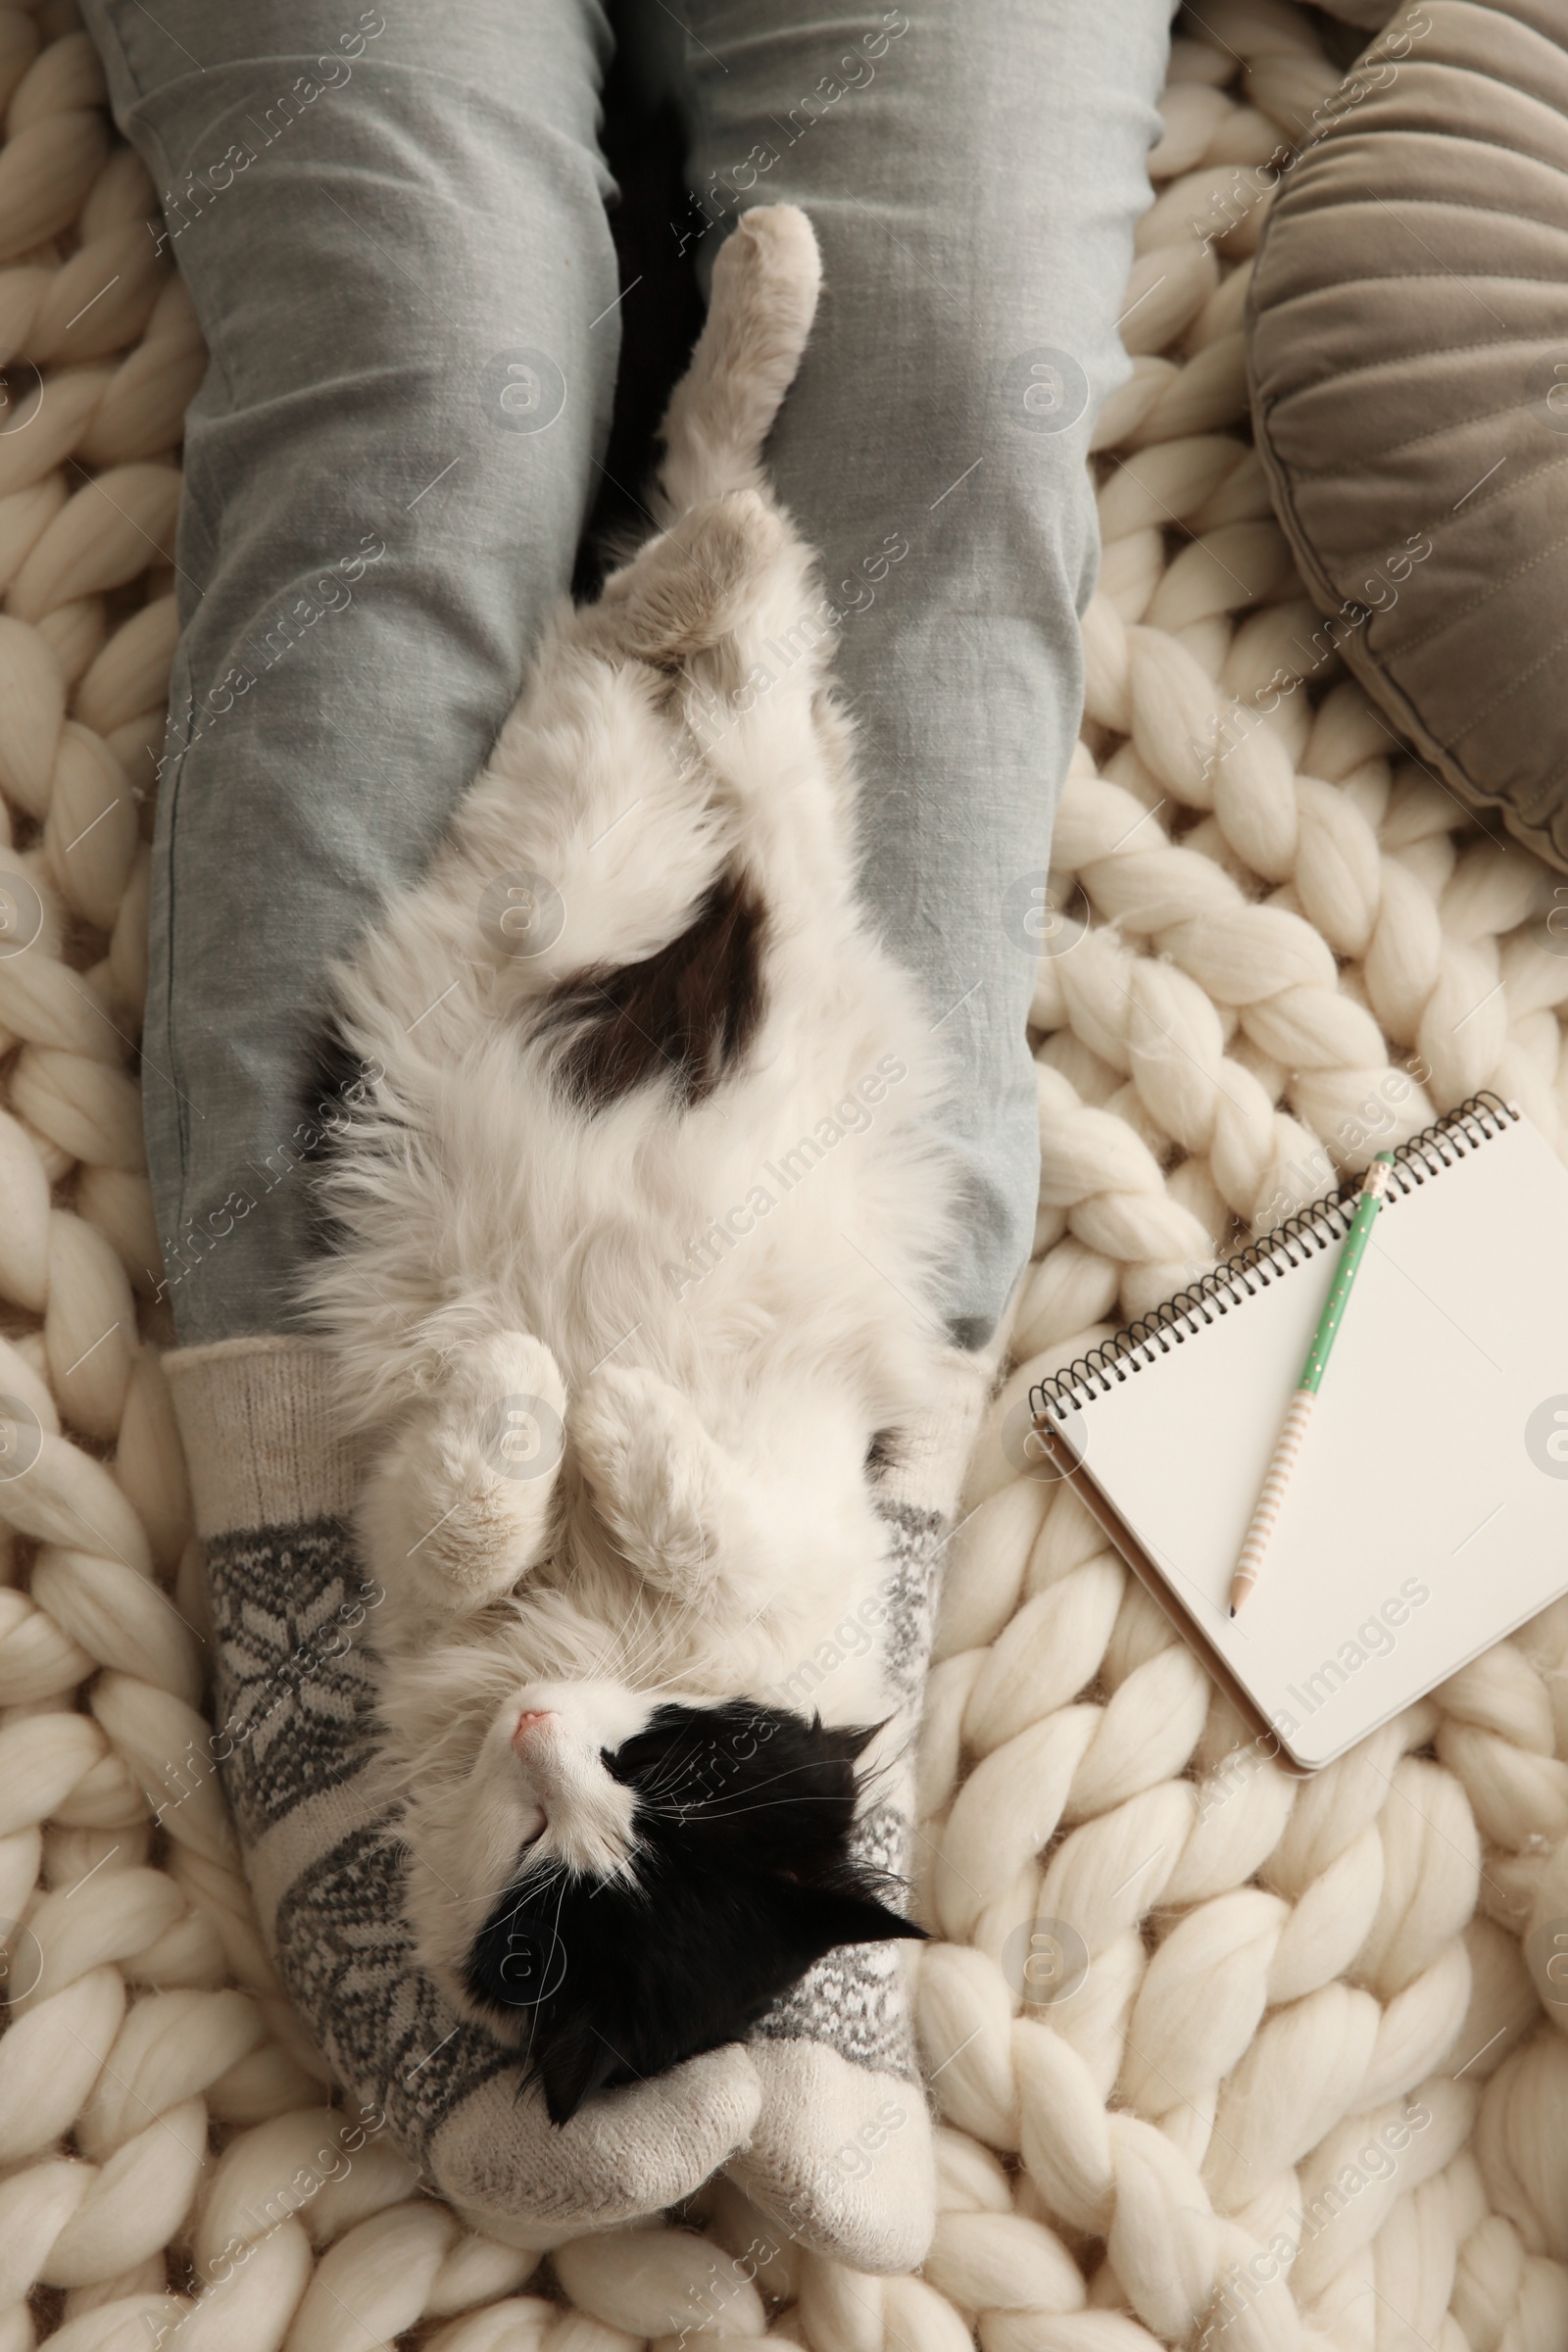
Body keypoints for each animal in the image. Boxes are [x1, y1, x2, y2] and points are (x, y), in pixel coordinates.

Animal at [292, 207, 958, 2135]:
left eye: (575, 1902)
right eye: (670, 1772)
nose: (546, 1738)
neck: (598, 1646)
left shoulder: (793, 1538)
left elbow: (685, 1512)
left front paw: (598, 1410)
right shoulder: (428, 1572)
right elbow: (491, 1483)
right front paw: (553, 1391)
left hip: (712, 736)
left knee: (705, 527)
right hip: (659, 753)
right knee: (696, 523)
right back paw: (777, 267)